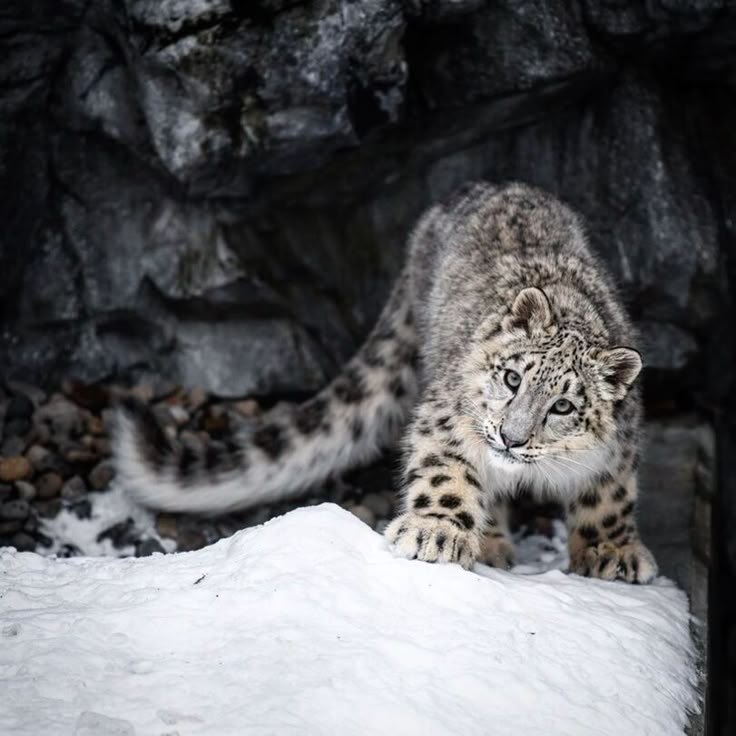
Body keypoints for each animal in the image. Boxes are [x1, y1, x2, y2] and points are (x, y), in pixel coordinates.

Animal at [114, 181, 658, 584]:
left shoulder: (620, 447)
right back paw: (490, 542)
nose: (511, 437)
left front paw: (612, 552)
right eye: (511, 378)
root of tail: (493, 185)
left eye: (563, 406)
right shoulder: (450, 416)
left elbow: (608, 498)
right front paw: (437, 533)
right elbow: (447, 473)